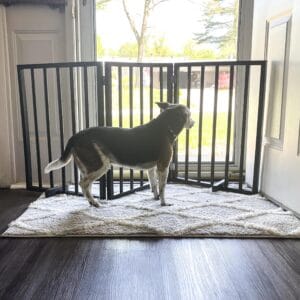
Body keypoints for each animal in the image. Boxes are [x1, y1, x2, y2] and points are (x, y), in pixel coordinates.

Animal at [44, 102, 195, 207]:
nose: (194, 123)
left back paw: (91, 202)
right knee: (83, 184)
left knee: (87, 186)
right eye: (189, 115)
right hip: (100, 166)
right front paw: (163, 203)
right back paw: (94, 203)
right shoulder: (163, 167)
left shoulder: (152, 169)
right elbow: (163, 187)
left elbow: (154, 185)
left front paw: (155, 198)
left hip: (87, 167)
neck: (165, 126)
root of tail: (75, 136)